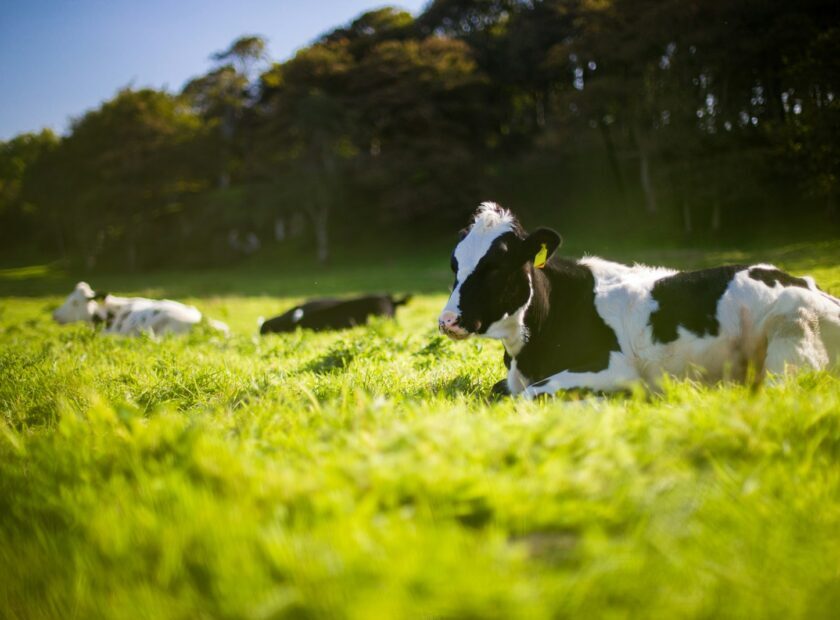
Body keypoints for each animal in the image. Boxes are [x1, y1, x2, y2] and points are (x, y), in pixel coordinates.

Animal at [440, 201, 840, 400]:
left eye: (496, 266)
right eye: (454, 263)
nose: (447, 321)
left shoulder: (615, 367)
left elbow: (526, 396)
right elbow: (502, 392)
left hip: (790, 343)